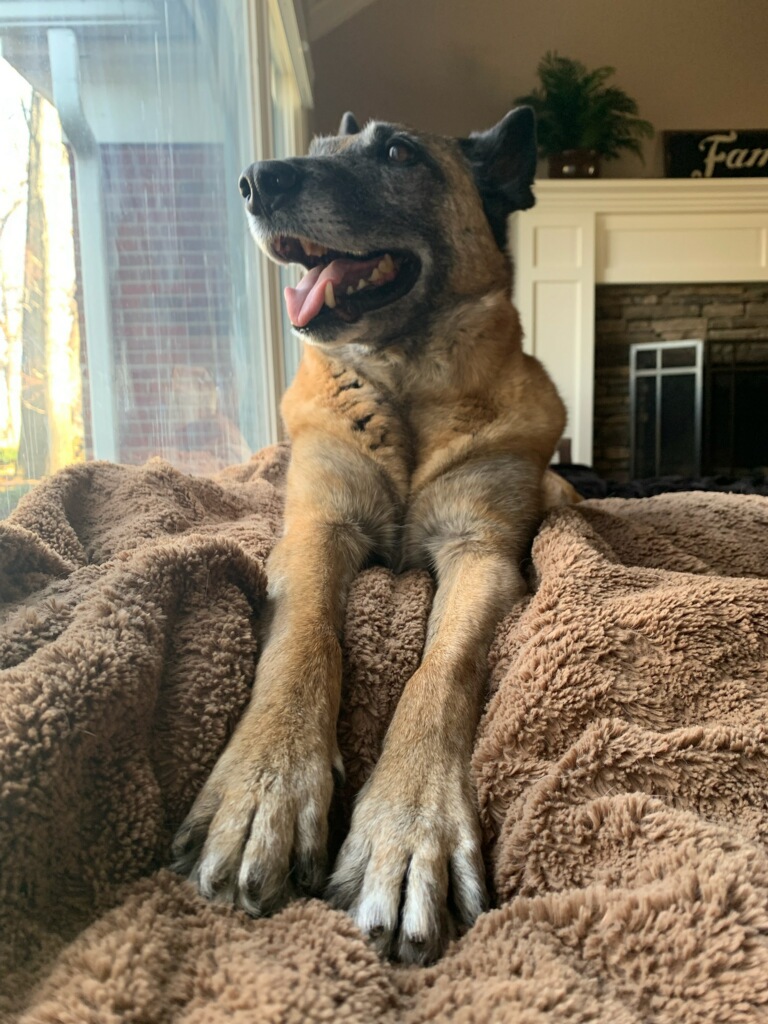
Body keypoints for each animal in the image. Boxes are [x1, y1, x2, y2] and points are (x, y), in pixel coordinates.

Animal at [173, 108, 573, 962]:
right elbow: (306, 639)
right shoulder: (314, 532)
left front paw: (409, 829)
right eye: (319, 151)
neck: (405, 388)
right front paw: (265, 789)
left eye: (398, 153)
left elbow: (438, 672)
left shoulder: (481, 554)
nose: (257, 180)